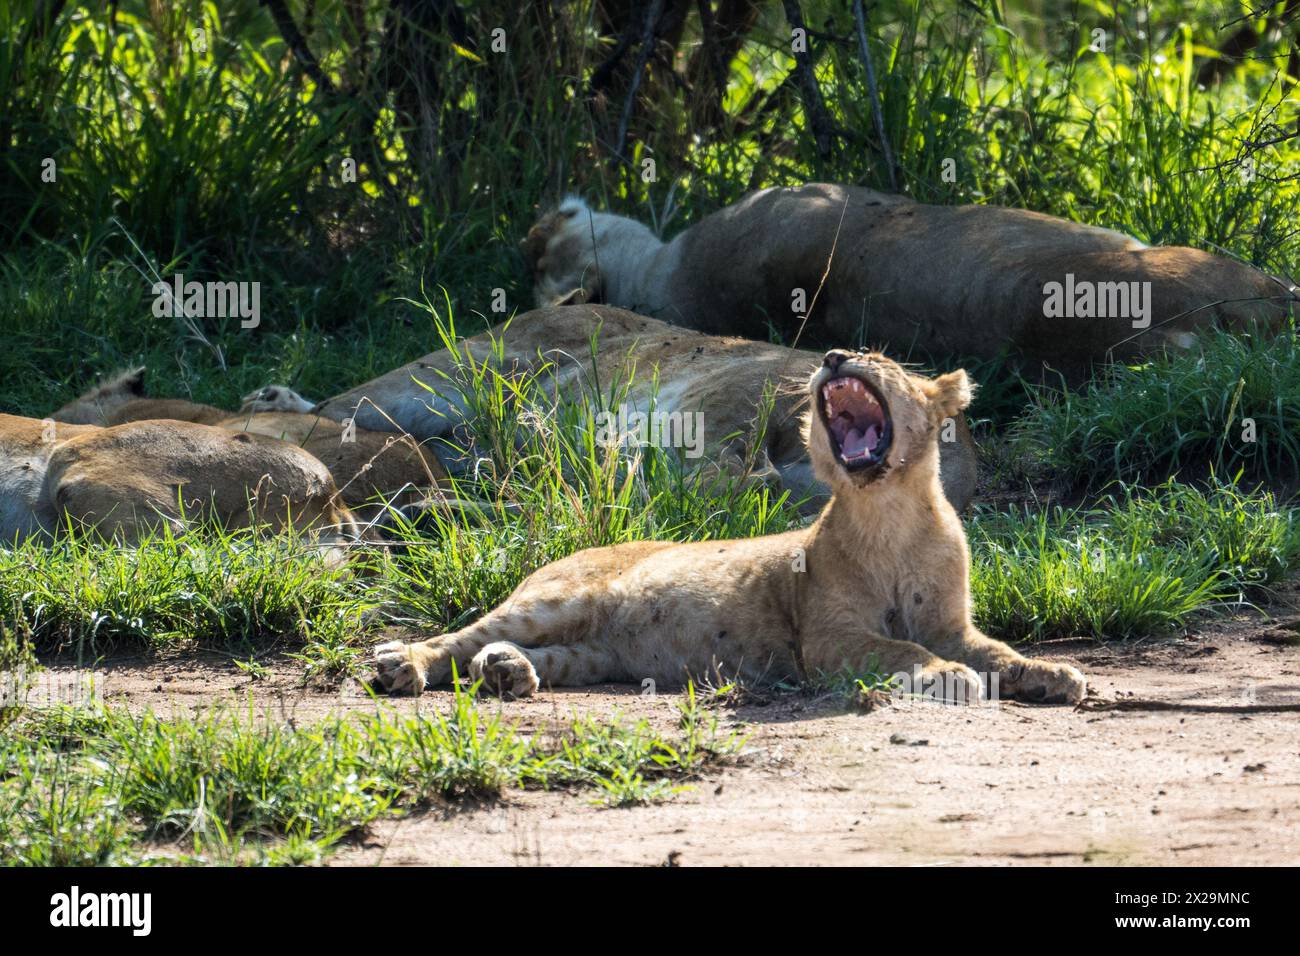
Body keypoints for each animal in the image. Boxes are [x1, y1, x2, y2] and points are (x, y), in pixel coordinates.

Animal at [374, 348, 1086, 707]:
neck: (892, 512)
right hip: (556, 600)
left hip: (595, 651)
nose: (833, 356)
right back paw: (403, 665)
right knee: (457, 640)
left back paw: (507, 672)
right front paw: (951, 676)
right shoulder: (827, 639)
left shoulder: (951, 625)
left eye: (877, 358)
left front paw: (1054, 675)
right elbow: (902, 651)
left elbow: (999, 651)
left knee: (522, 656)